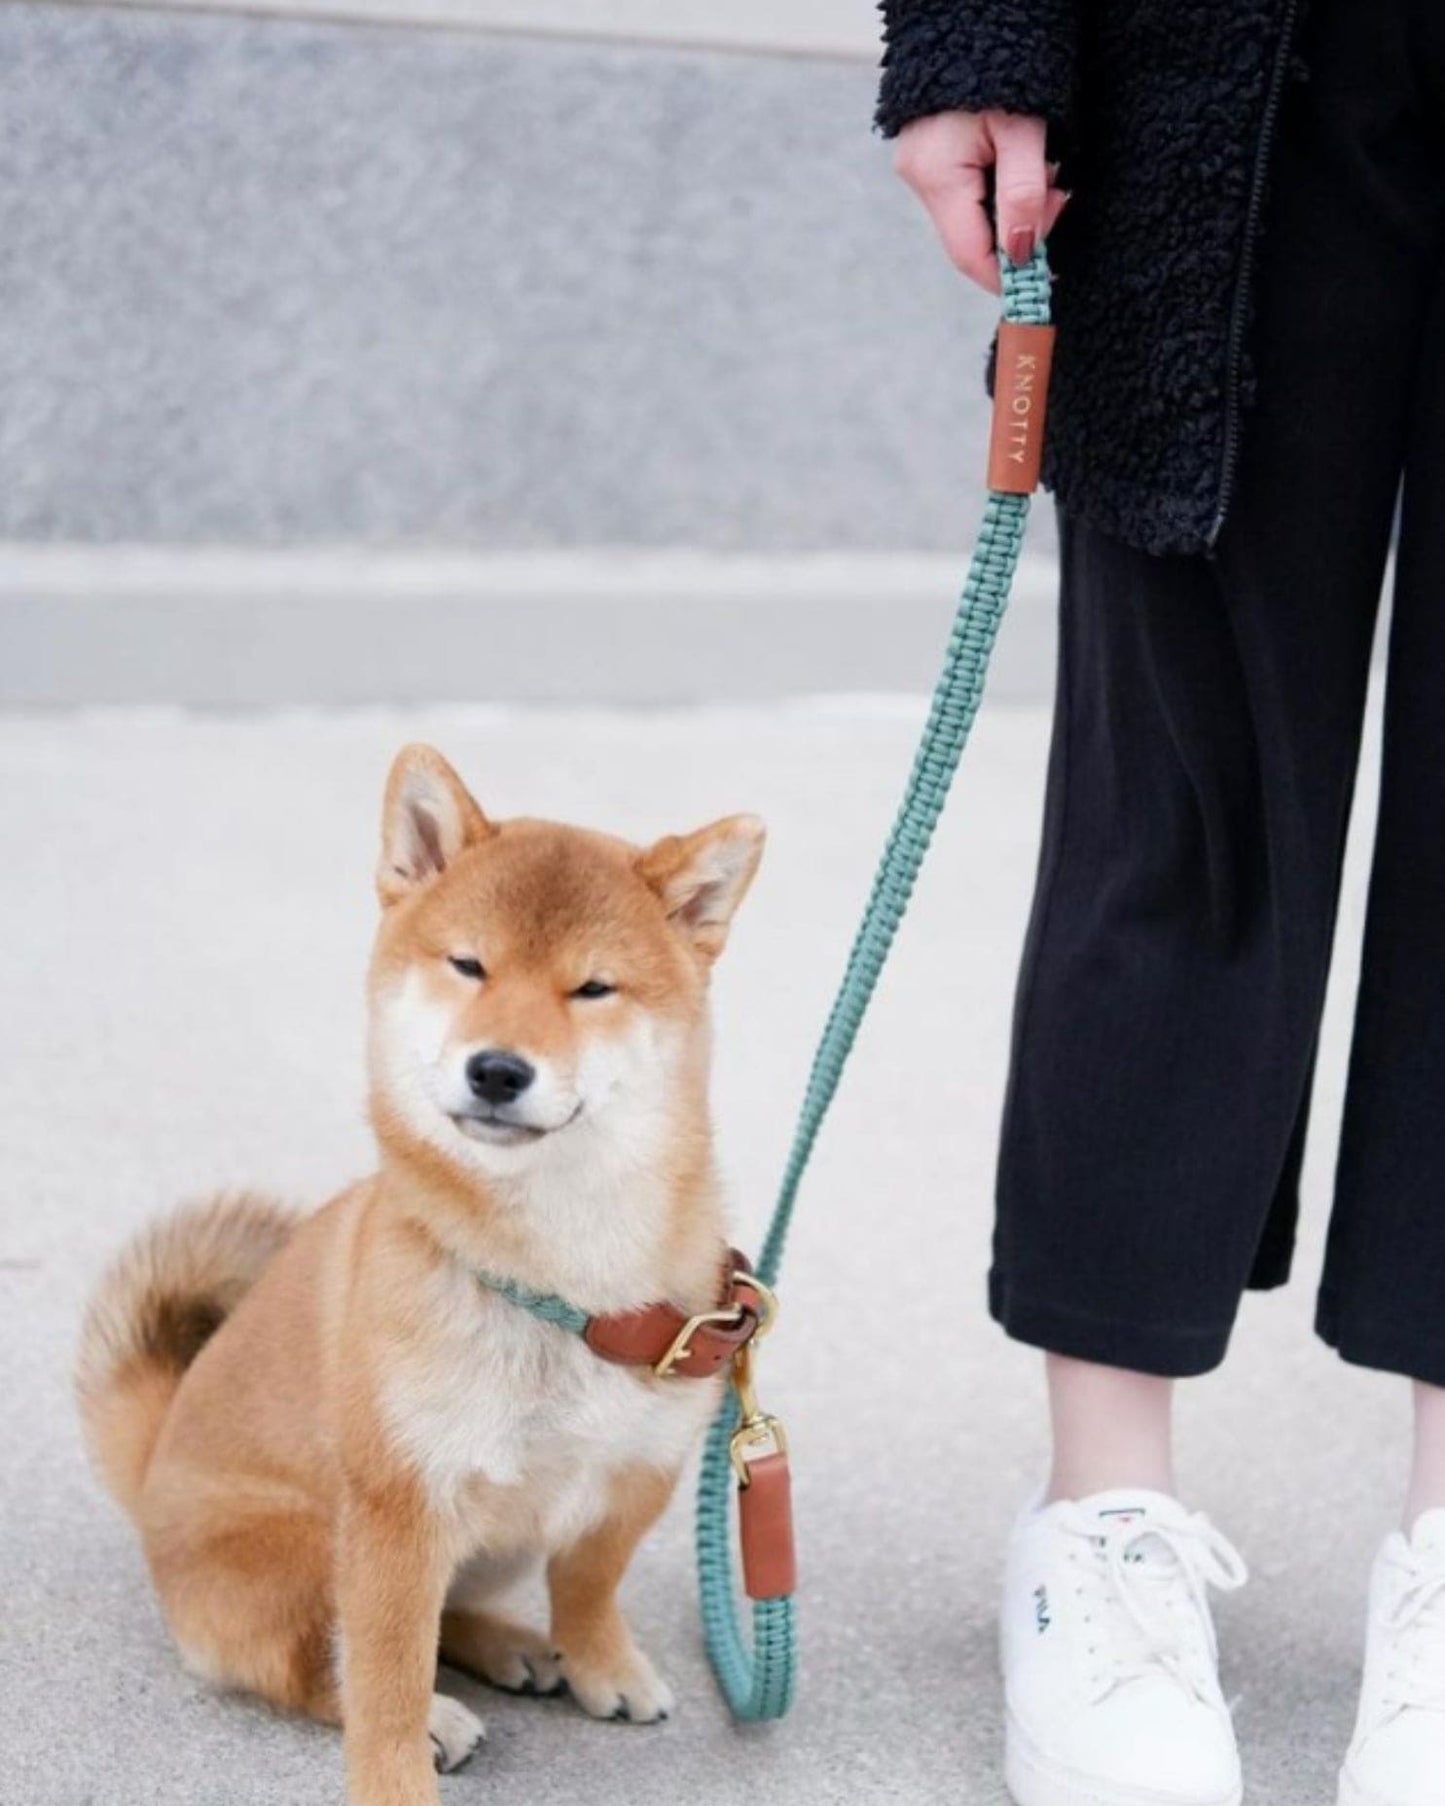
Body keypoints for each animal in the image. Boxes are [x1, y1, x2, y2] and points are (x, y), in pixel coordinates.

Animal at [76, 744, 765, 1806]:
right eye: (468, 965)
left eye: (592, 988)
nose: (497, 1070)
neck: (562, 1289)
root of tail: (151, 1477)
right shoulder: (399, 1512)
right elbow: (386, 1680)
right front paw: (398, 1774)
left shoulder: (636, 1469)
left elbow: (588, 1583)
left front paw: (600, 1661)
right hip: (300, 1552)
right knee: (318, 1667)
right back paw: (447, 1708)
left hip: (484, 1542)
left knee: (455, 1611)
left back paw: (517, 1646)